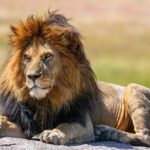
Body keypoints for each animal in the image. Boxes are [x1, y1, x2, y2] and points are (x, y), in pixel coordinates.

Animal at [0, 11, 149, 147]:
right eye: (27, 58)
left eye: (47, 56)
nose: (31, 76)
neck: (45, 101)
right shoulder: (24, 124)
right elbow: (4, 120)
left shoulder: (82, 122)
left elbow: (65, 126)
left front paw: (54, 133)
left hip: (133, 88)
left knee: (145, 137)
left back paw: (110, 132)